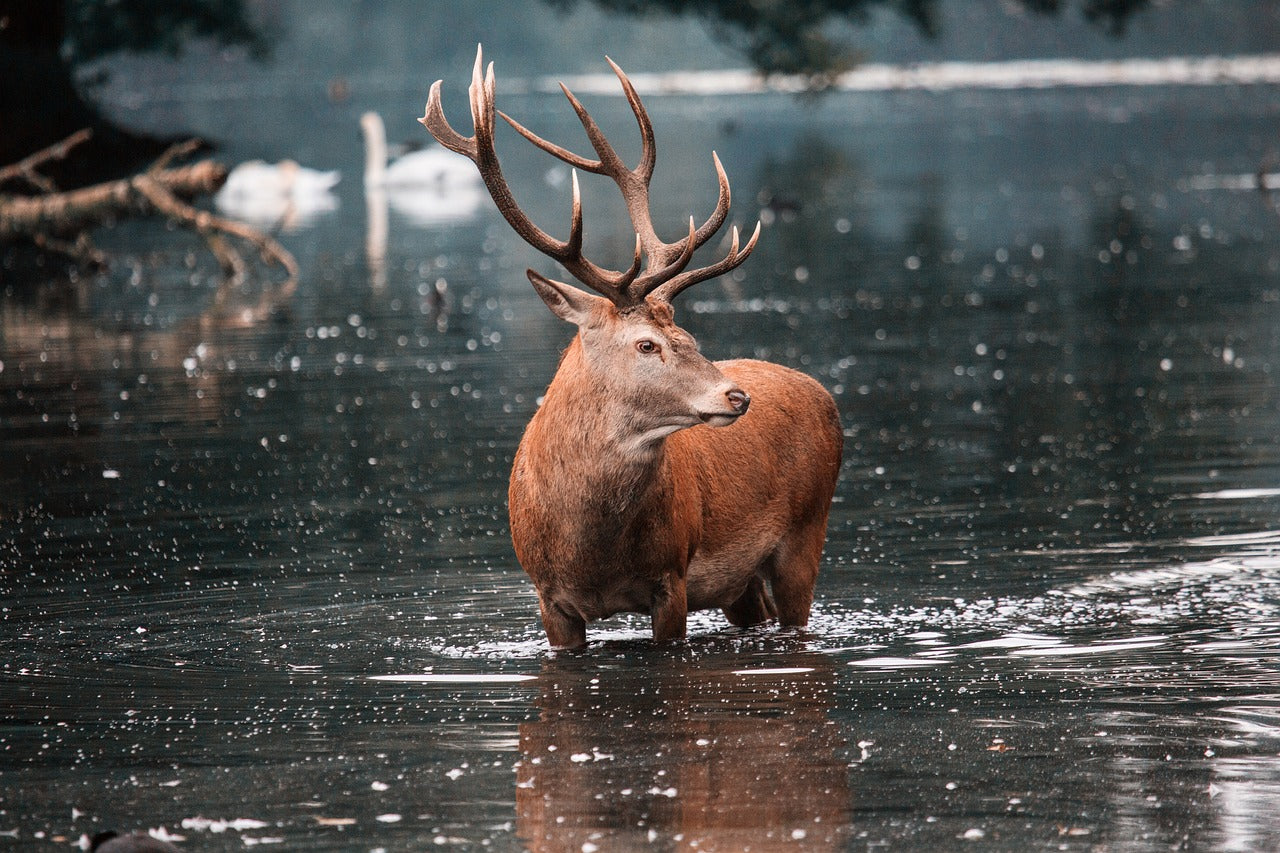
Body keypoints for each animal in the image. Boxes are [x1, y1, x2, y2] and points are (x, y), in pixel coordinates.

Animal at [419, 46, 839, 645]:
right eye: (646, 345)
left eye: (687, 335)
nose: (737, 396)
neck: (591, 553)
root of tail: (824, 394)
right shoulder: (547, 598)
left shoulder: (672, 578)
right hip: (742, 582)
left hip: (807, 532)